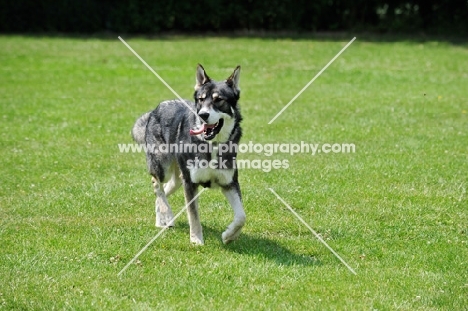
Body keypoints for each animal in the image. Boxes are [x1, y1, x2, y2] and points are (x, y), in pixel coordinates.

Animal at [131, 64, 245, 245]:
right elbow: (194, 215)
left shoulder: (229, 183)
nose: (203, 115)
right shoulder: (190, 184)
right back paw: (168, 215)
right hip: (163, 168)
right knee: (156, 185)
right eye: (201, 99)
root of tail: (155, 110)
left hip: (178, 180)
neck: (211, 146)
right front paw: (196, 240)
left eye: (218, 100)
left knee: (163, 191)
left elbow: (241, 217)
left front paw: (229, 235)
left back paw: (162, 219)